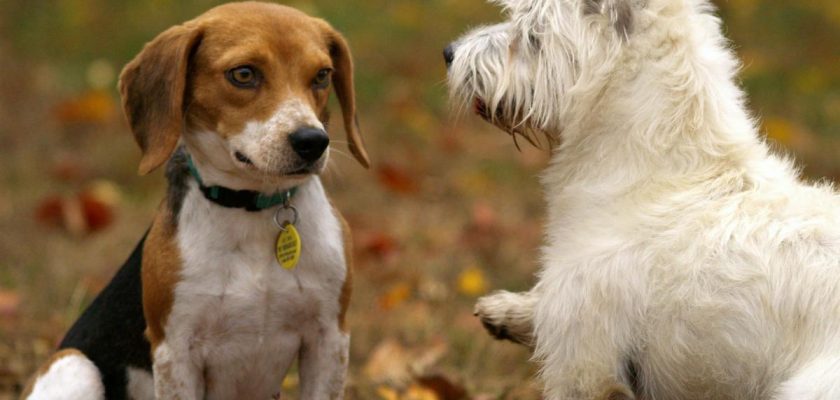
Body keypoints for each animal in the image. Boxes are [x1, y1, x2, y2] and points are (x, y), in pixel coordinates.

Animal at [18, 1, 368, 398]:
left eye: (322, 75)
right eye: (243, 74)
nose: (312, 141)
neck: (252, 208)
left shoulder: (329, 339)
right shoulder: (175, 351)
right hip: (75, 365)